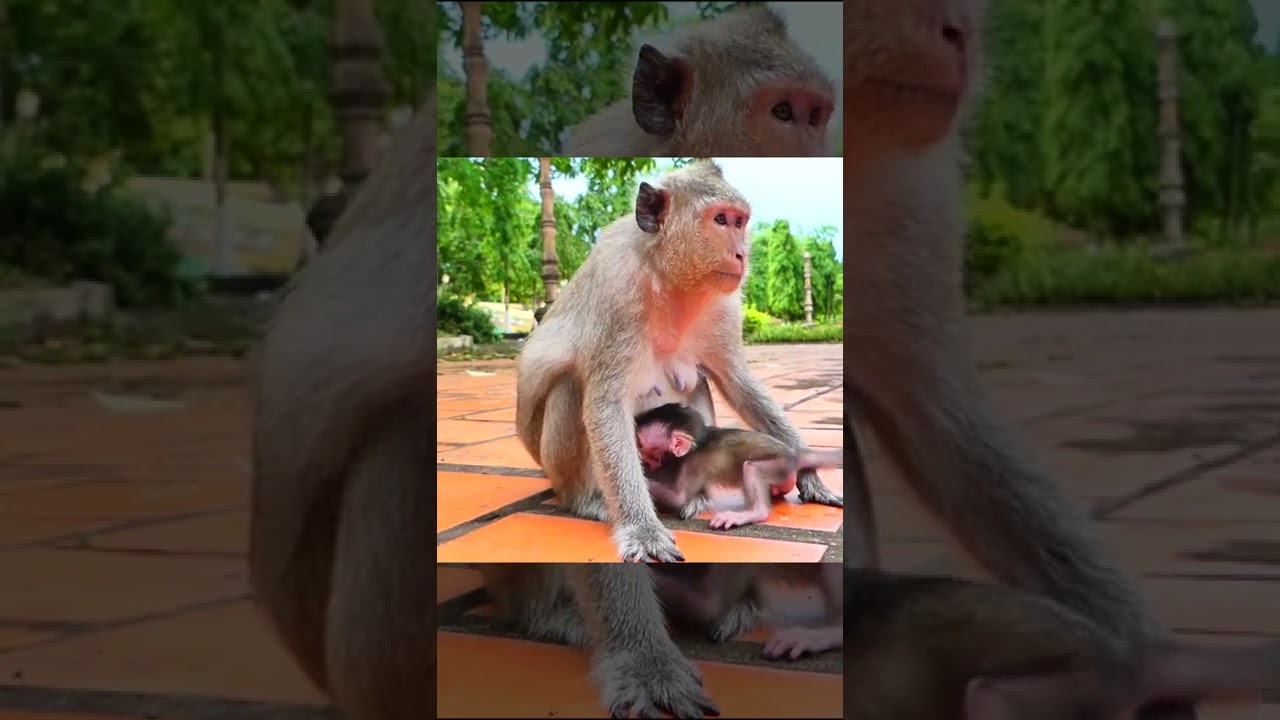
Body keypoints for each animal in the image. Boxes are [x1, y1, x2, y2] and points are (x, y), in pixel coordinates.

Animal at [633, 402, 843, 529]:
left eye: (642, 445)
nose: (642, 457)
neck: (699, 443)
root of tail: (793, 454)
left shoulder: (692, 464)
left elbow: (680, 498)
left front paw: (644, 481)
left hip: (779, 465)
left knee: (751, 468)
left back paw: (754, 513)